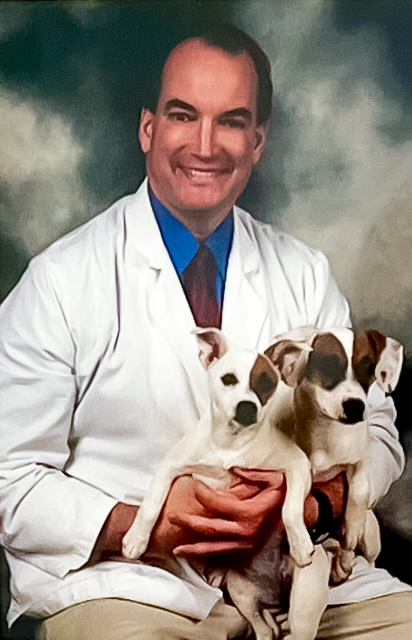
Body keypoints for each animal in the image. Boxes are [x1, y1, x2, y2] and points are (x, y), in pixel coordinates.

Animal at [122, 330, 316, 640]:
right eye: (228, 379)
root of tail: (273, 597)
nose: (247, 407)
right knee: (262, 627)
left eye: (266, 383)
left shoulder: (297, 463)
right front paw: (136, 539)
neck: (230, 444)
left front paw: (300, 543)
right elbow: (151, 504)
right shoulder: (171, 466)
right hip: (242, 593)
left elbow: (290, 509)